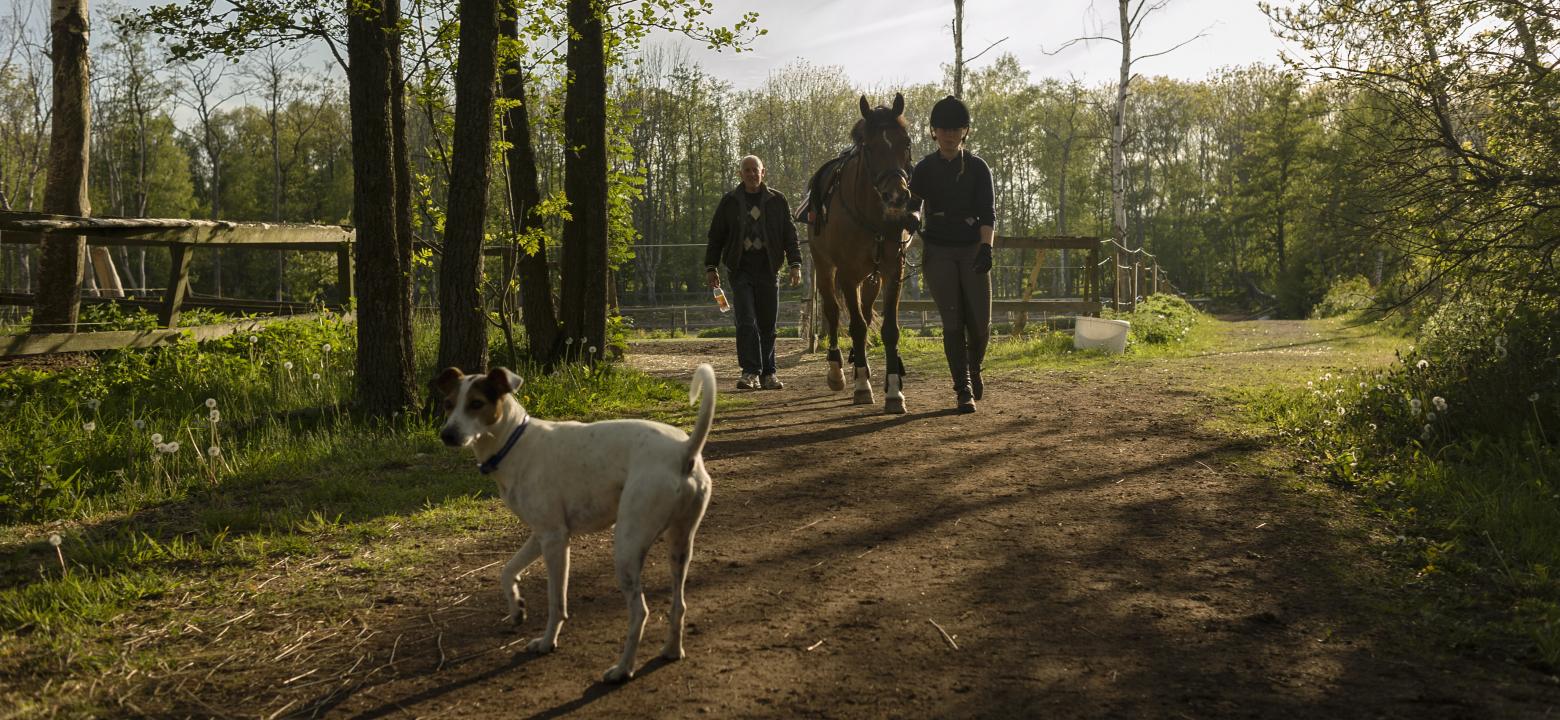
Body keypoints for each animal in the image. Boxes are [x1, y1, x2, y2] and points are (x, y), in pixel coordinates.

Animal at [430, 363, 714, 682]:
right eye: (448, 404)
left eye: (477, 404)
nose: (447, 435)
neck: (515, 443)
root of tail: (684, 451)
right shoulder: (541, 533)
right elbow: (507, 571)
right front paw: (516, 608)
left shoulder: (555, 540)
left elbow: (556, 603)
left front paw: (547, 642)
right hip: (680, 544)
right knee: (679, 604)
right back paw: (672, 650)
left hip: (627, 547)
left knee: (640, 612)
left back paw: (623, 669)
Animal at [811, 92, 917, 414]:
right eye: (869, 147)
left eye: (906, 143)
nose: (897, 196)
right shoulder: (846, 274)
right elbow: (855, 326)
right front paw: (861, 386)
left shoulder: (892, 271)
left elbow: (888, 329)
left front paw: (894, 391)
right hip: (824, 267)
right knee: (833, 312)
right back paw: (837, 371)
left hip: (871, 277)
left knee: (867, 312)